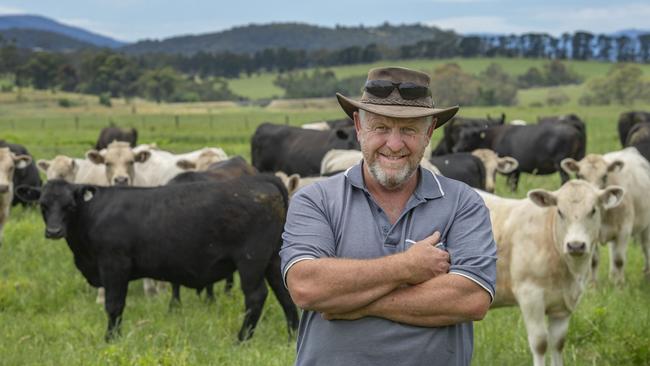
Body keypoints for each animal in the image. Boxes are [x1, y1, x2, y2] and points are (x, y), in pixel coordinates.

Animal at [19, 177, 298, 344]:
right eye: (43, 205)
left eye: (70, 205)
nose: (54, 231)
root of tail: (262, 181)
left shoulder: (114, 264)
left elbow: (114, 305)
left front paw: (111, 340)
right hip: (274, 259)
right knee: (285, 294)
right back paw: (293, 335)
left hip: (251, 260)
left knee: (256, 297)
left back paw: (241, 340)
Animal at [450, 123, 584, 192]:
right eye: (460, 135)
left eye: (469, 136)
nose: (456, 149)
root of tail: (574, 130)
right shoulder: (517, 170)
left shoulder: (513, 170)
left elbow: (512, 185)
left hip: (561, 164)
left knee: (565, 180)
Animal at [478, 181, 624, 366]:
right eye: (560, 211)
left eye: (593, 210)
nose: (575, 245)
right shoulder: (530, 296)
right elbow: (540, 343)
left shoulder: (564, 305)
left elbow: (558, 342)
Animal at [556, 147, 648, 284]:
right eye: (580, 176)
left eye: (605, 176)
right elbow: (594, 260)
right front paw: (593, 284)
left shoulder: (624, 230)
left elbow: (619, 260)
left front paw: (619, 285)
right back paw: (612, 275)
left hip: (646, 226)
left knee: (645, 246)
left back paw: (646, 272)